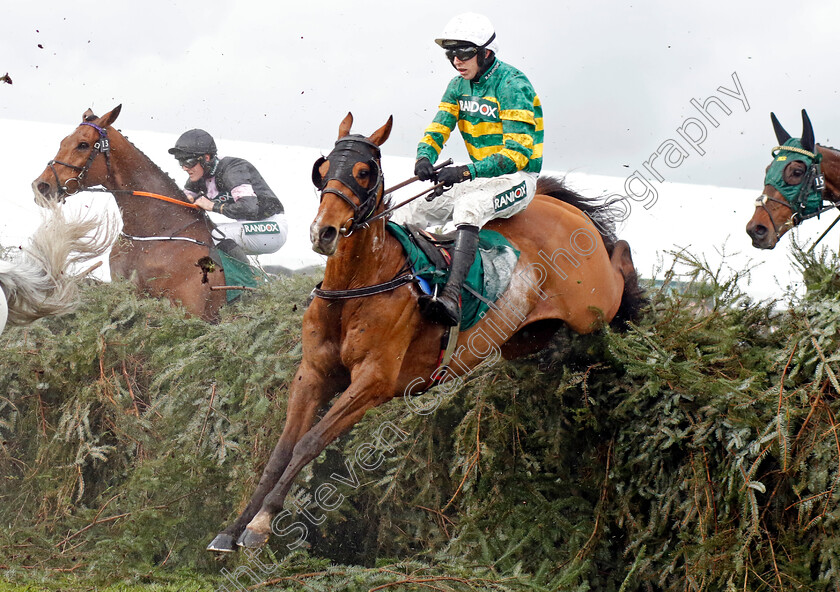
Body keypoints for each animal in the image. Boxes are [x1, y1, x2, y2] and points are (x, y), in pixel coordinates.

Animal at [208, 113, 644, 552]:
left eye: (364, 172)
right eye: (323, 170)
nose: (323, 232)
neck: (359, 283)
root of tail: (559, 205)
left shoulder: (373, 382)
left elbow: (308, 442)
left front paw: (261, 523)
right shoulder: (313, 373)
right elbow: (281, 451)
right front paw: (232, 529)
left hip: (592, 303)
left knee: (621, 256)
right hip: (523, 339)